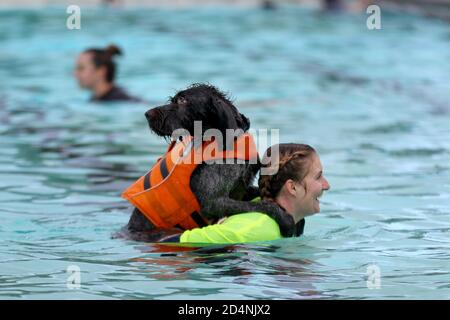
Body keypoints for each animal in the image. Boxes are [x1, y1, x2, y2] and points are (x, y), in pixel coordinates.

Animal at [125, 84, 298, 241]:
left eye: (182, 100)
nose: (147, 114)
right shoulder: (213, 203)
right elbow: (261, 205)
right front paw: (285, 219)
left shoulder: (240, 191)